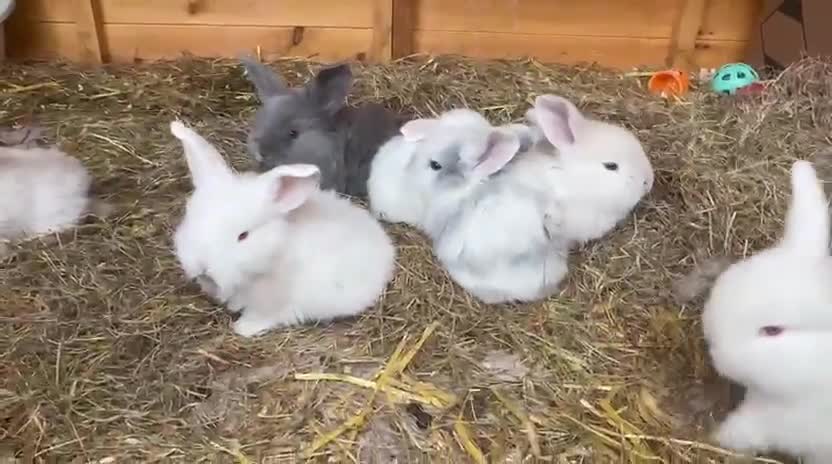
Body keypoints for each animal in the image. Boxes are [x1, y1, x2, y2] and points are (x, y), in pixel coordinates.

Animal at [169, 121, 397, 337]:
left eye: (243, 236)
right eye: (190, 219)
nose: (202, 267)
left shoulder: (274, 304)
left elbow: (263, 316)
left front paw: (242, 328)